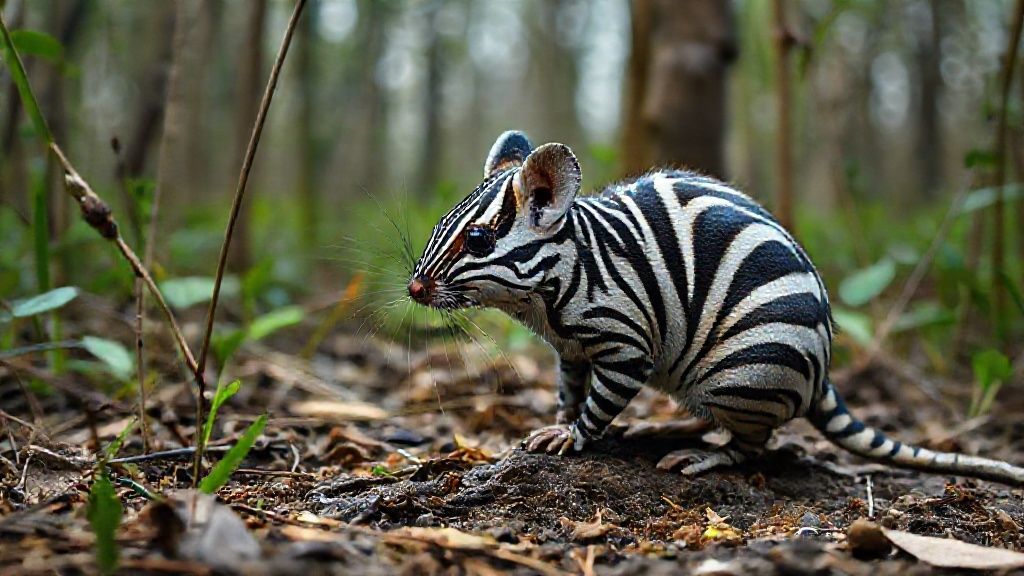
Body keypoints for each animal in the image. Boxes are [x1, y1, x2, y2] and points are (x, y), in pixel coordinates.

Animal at [406, 130, 1024, 484]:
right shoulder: (571, 352)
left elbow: (598, 406)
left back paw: (702, 456)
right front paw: (555, 425)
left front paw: (574, 438)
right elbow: (569, 393)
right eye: (438, 227)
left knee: (753, 446)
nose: (414, 289)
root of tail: (822, 368)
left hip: (742, 377)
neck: (557, 288)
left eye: (478, 241)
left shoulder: (628, 343)